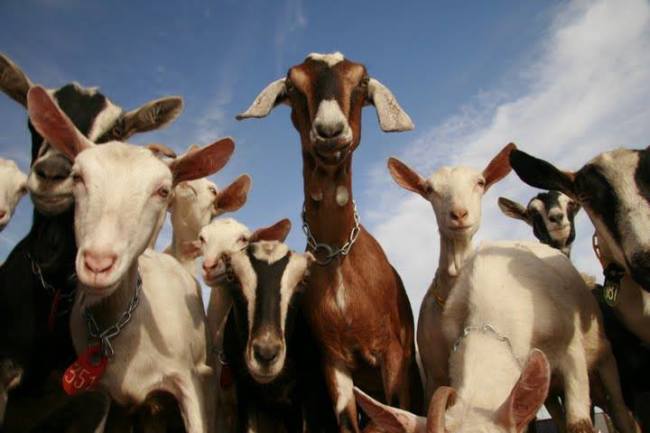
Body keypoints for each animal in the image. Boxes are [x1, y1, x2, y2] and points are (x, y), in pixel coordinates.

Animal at [238, 51, 422, 432]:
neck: (338, 256)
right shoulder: (334, 362)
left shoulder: (393, 354)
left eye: (362, 81)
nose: (330, 130)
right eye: (293, 85)